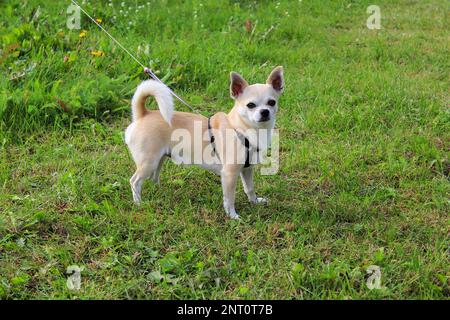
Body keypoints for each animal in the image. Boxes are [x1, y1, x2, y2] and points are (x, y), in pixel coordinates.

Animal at [125, 66, 284, 219]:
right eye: (250, 105)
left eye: (272, 102)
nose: (265, 111)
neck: (240, 129)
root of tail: (143, 114)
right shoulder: (229, 174)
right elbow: (229, 199)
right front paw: (233, 216)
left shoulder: (247, 169)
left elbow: (249, 188)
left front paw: (255, 202)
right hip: (148, 162)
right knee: (135, 181)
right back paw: (138, 203)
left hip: (159, 158)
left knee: (153, 177)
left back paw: (158, 190)